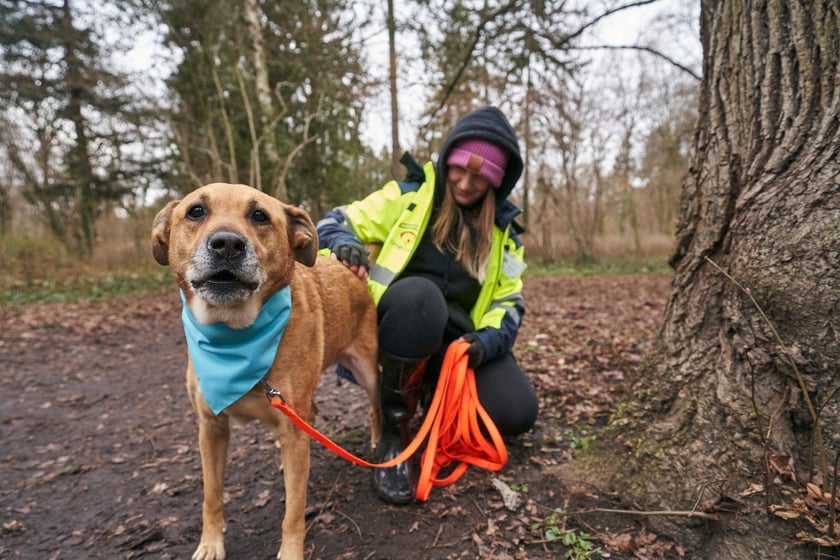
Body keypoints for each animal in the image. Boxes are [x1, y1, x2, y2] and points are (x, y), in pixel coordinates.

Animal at [152, 184, 380, 560]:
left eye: (259, 216)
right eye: (196, 211)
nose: (227, 244)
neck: (233, 337)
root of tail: (352, 270)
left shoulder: (293, 429)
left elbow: (293, 514)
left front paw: (290, 552)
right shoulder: (211, 428)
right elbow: (211, 496)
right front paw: (211, 543)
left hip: (367, 373)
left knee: (376, 411)